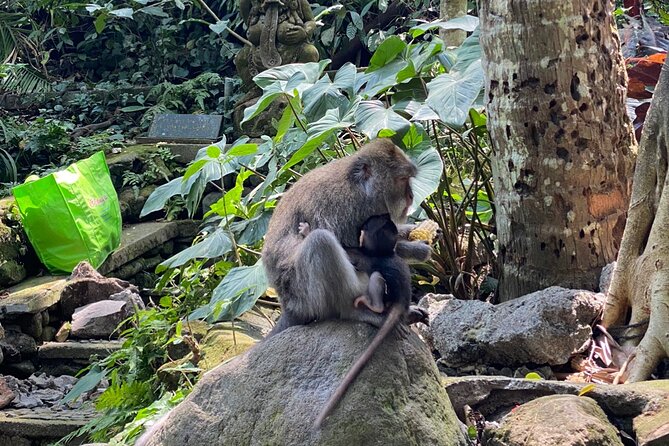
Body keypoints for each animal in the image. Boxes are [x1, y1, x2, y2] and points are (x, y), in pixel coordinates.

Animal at [262, 138, 432, 337]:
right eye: (403, 179)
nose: (411, 196)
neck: (360, 187)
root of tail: (287, 307)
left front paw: (414, 236)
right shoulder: (346, 209)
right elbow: (363, 253)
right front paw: (416, 249)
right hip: (304, 299)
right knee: (321, 241)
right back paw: (355, 311)